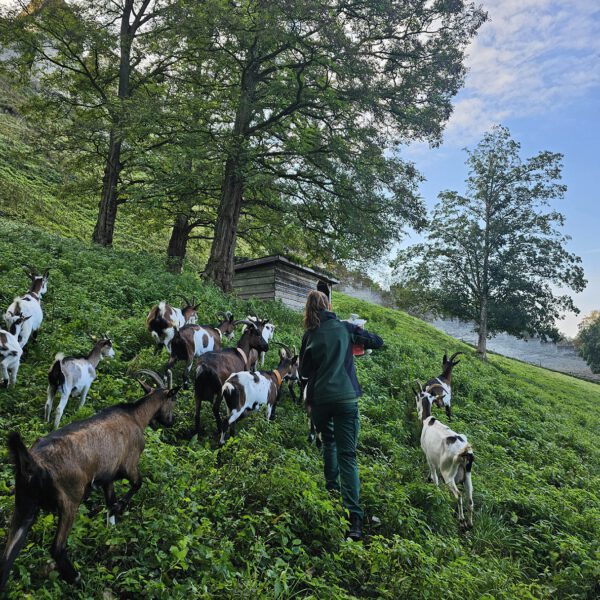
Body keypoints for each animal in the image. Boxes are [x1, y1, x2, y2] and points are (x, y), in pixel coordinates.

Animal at [412, 382, 474, 528]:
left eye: (417, 397)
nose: (418, 412)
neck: (429, 421)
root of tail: (464, 452)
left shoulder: (429, 457)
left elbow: (434, 477)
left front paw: (434, 489)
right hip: (468, 476)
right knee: (470, 499)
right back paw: (469, 524)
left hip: (448, 473)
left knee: (459, 495)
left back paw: (462, 521)